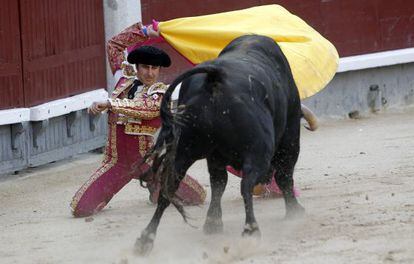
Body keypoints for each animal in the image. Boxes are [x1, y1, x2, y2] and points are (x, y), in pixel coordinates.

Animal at [134, 34, 316, 255]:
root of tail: (215, 77)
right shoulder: (289, 137)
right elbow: (284, 175)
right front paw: (295, 211)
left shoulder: (215, 157)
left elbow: (218, 184)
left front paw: (213, 223)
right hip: (258, 152)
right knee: (247, 185)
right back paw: (251, 231)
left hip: (183, 152)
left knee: (168, 190)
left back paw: (145, 239)